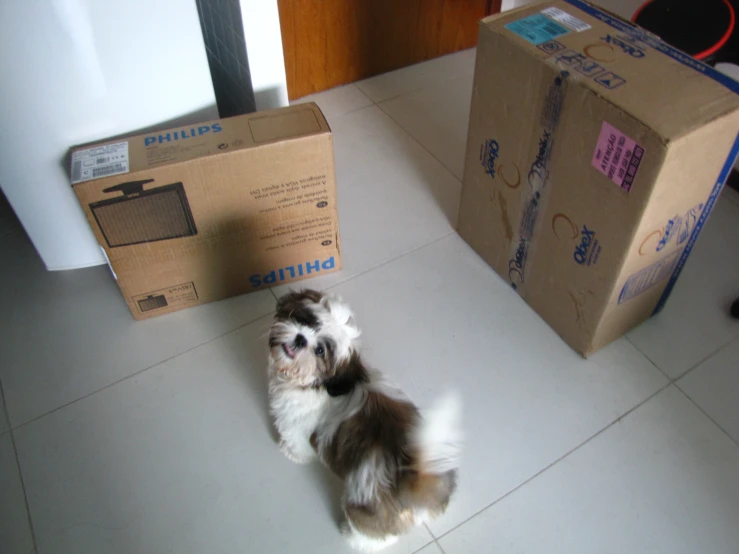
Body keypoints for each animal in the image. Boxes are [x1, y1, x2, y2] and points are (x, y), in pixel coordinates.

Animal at [268, 288, 460, 548]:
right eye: (305, 320)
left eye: (320, 351)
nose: (301, 339)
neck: (322, 384)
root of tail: (412, 476)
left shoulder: (294, 419)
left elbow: (294, 440)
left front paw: (291, 453)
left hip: (365, 507)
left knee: (374, 533)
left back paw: (353, 537)